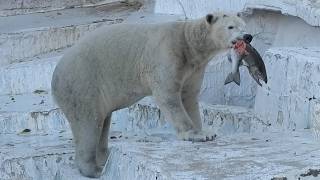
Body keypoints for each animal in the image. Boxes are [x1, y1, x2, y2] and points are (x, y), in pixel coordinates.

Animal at [52, 12, 248, 177]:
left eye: (244, 25)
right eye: (231, 26)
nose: (247, 37)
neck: (188, 41)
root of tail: (55, 78)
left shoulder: (194, 69)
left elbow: (189, 97)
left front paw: (205, 131)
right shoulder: (168, 55)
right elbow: (168, 96)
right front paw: (197, 135)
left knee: (102, 122)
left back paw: (104, 158)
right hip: (83, 84)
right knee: (88, 124)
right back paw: (96, 169)